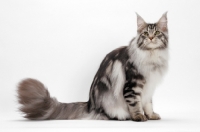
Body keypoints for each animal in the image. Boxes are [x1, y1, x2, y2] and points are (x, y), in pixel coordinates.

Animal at [17, 12, 168, 121]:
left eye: (157, 33)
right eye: (145, 34)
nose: (151, 38)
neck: (151, 56)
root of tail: (90, 104)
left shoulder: (149, 87)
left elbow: (148, 104)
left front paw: (151, 115)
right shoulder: (132, 85)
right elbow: (135, 104)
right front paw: (138, 116)